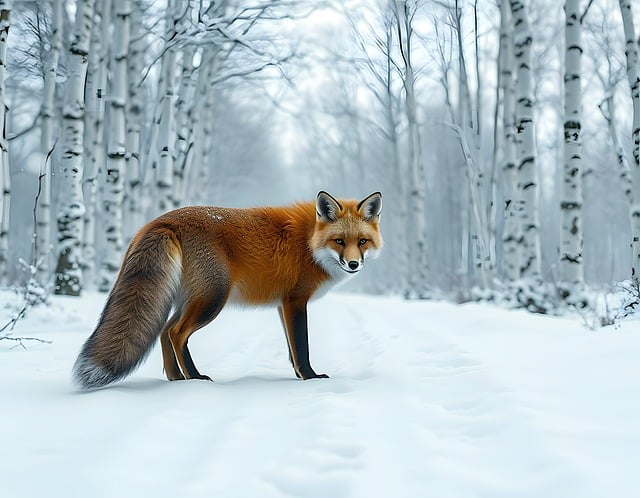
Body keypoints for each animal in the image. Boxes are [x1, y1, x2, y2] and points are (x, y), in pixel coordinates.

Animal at [72, 191, 383, 389]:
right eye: (339, 241)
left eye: (362, 241)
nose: (353, 264)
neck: (308, 243)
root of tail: (161, 220)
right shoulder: (296, 301)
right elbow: (302, 346)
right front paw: (310, 377)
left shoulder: (283, 304)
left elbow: (291, 348)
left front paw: (298, 375)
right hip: (212, 299)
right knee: (176, 333)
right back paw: (194, 378)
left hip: (192, 299)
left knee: (164, 330)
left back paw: (175, 378)